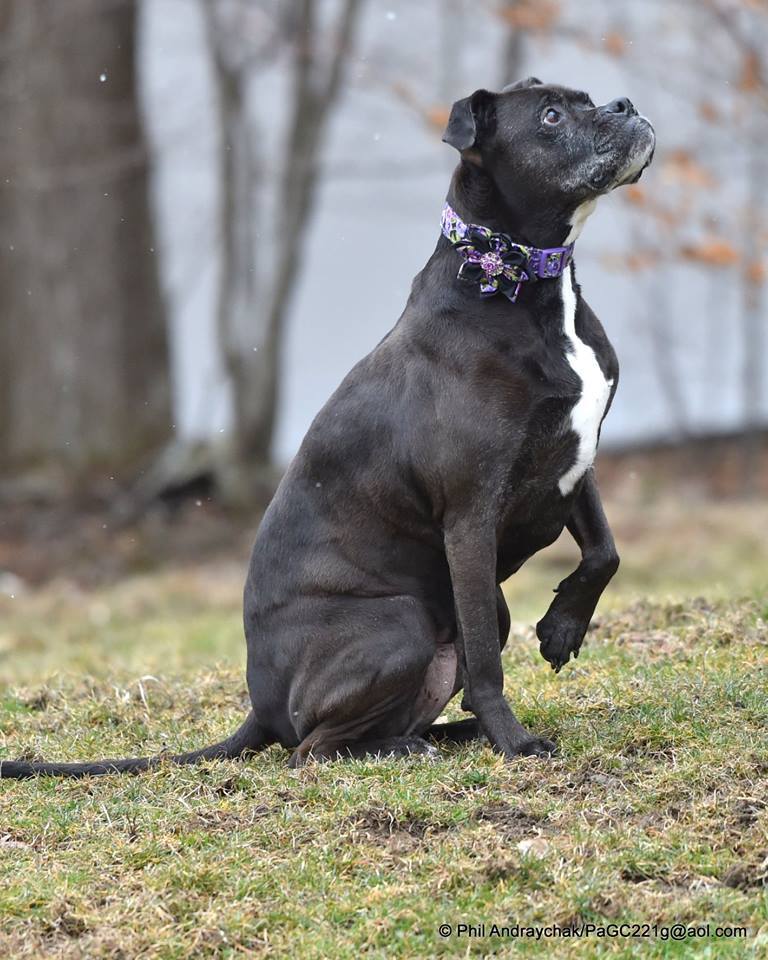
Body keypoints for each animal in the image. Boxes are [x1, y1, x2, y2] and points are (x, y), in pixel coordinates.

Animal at [1, 79, 656, 776]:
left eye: (585, 100)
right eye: (552, 117)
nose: (624, 104)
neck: (520, 283)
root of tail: (261, 709)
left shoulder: (572, 460)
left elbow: (605, 550)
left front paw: (562, 629)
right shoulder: (471, 513)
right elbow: (485, 660)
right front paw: (516, 742)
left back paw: (445, 736)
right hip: (399, 623)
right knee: (312, 750)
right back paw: (418, 746)